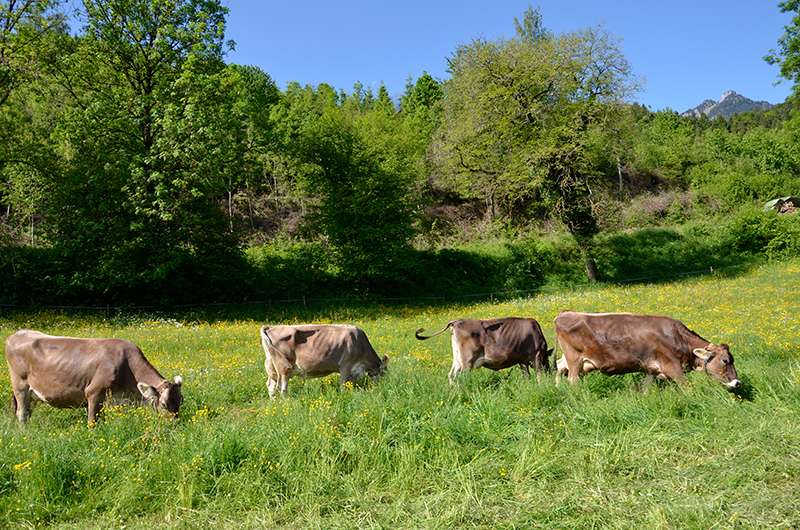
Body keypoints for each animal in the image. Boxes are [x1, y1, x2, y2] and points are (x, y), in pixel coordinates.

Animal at [5, 329, 183, 424]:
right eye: (164, 404)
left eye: (181, 401)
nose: (175, 424)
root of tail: (18, 333)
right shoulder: (93, 392)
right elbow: (92, 422)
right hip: (20, 386)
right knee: (22, 414)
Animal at [414, 317, 553, 383]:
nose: (550, 372)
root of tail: (456, 321)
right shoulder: (536, 355)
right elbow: (539, 374)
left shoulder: (522, 360)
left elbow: (526, 375)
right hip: (467, 361)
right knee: (461, 377)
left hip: (457, 358)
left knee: (451, 375)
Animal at [553, 311, 741, 389]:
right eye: (725, 360)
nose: (737, 383)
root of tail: (564, 313)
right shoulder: (673, 367)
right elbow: (687, 387)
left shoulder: (651, 369)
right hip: (574, 359)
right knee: (572, 379)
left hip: (572, 360)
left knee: (559, 365)